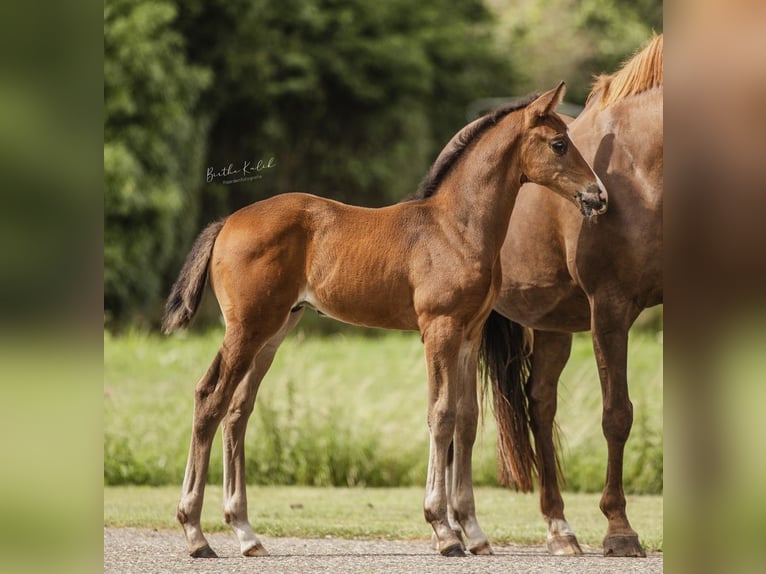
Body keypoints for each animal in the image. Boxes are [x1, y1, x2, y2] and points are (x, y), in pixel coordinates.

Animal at [165, 83, 608, 560]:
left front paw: (474, 532)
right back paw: (196, 534)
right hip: (247, 329)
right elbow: (441, 414)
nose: (598, 196)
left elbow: (467, 420)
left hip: (273, 331)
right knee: (210, 399)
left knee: (237, 410)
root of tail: (227, 222)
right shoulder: (439, 328)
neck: (457, 228)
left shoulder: (469, 334)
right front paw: (444, 530)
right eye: (559, 144)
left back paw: (246, 533)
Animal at [480, 33, 664, 556]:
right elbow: (617, 414)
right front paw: (620, 530)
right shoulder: (611, 308)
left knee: (540, 404)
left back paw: (559, 526)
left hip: (553, 327)